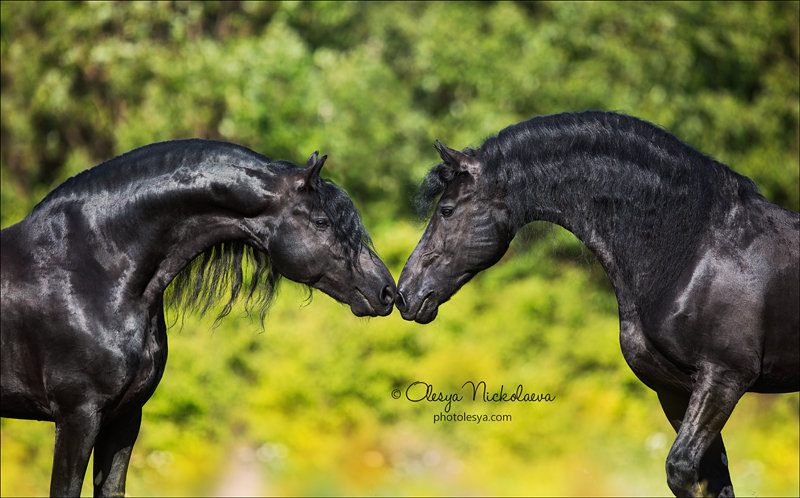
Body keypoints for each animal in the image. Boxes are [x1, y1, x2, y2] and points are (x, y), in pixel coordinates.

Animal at [396, 111, 800, 496]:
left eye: (447, 210)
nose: (405, 293)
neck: (693, 251)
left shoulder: (724, 378)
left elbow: (682, 469)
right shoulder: (674, 389)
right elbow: (711, 479)